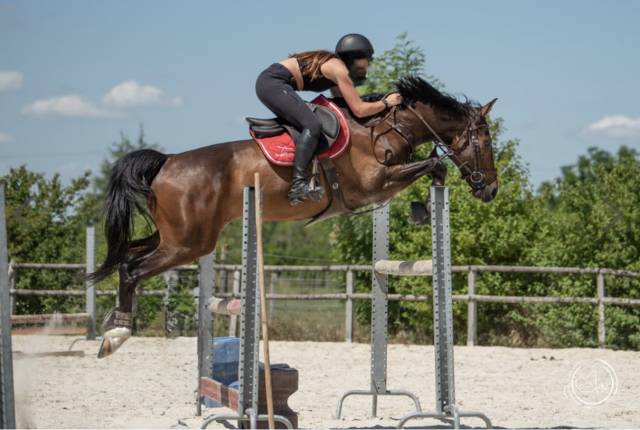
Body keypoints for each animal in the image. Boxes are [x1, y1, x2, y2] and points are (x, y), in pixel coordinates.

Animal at [90, 76, 498, 357]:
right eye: (485, 141)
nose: (490, 190)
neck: (382, 129)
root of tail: (167, 161)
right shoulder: (373, 186)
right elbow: (433, 163)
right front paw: (427, 202)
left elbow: (432, 166)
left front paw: (425, 208)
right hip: (189, 243)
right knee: (132, 269)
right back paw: (116, 335)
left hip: (175, 237)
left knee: (127, 253)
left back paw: (112, 321)